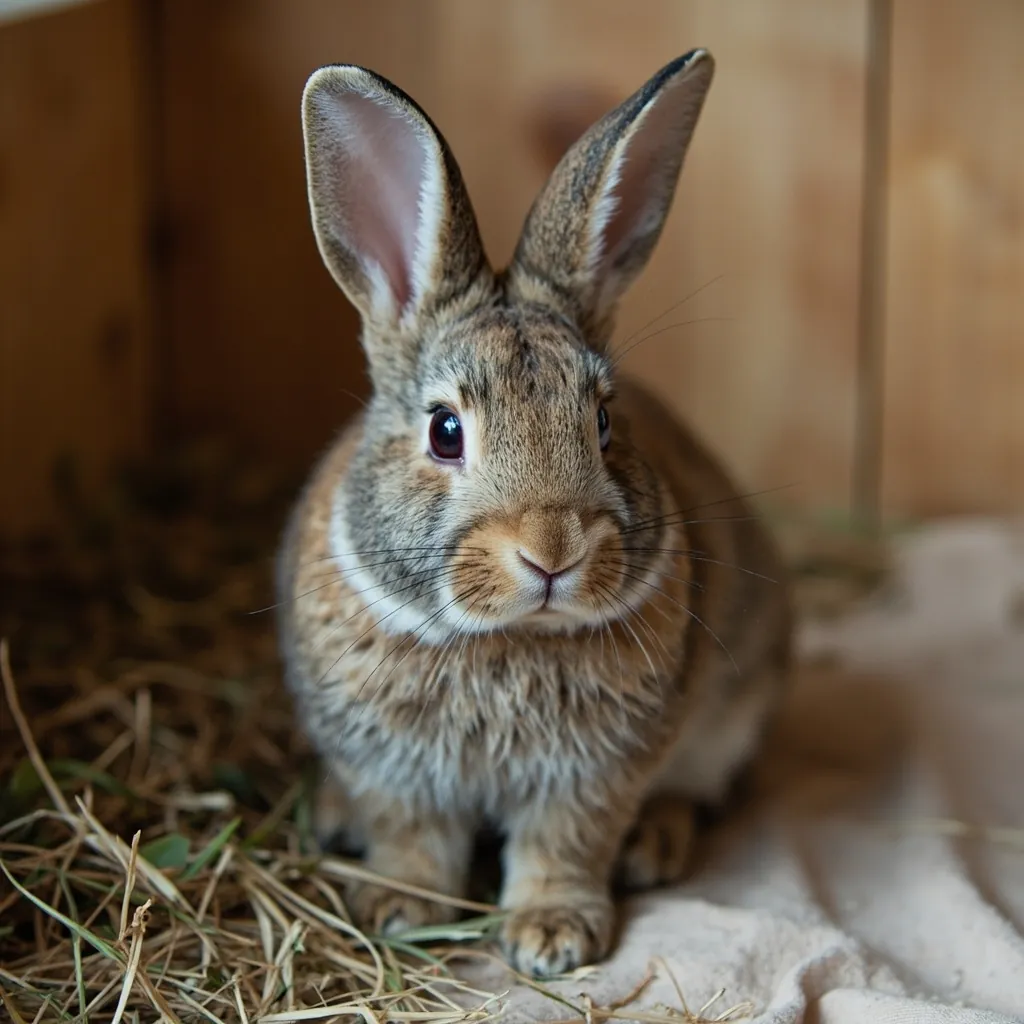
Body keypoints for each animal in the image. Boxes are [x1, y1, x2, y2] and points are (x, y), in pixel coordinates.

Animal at [276, 49, 793, 979]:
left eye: (605, 421)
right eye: (445, 432)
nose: (553, 552)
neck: (507, 637)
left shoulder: (593, 777)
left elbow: (566, 845)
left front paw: (551, 936)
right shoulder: (392, 774)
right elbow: (412, 840)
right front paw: (401, 906)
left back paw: (652, 847)